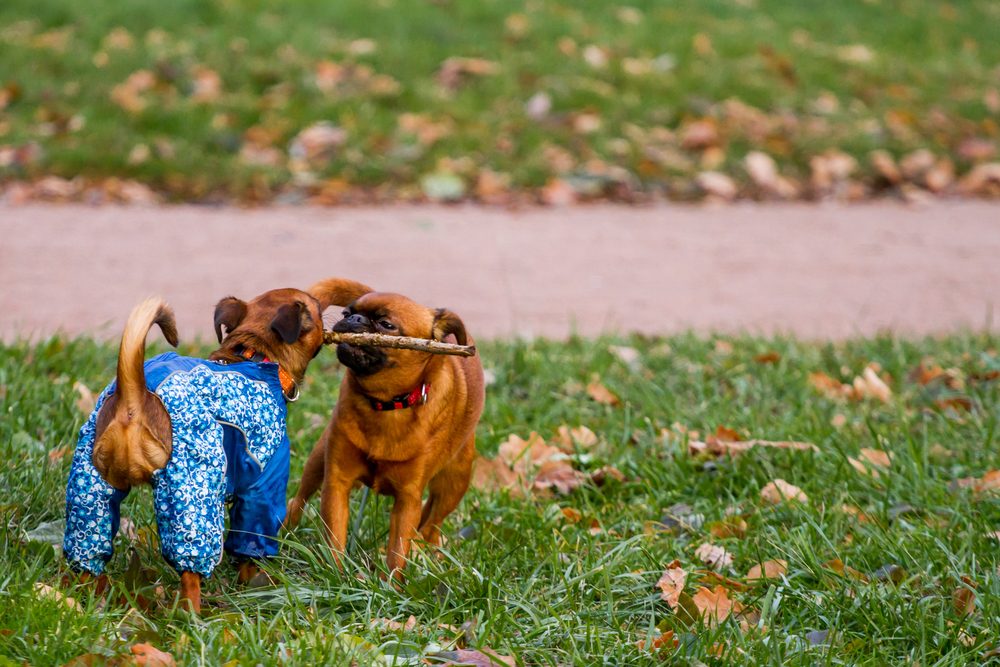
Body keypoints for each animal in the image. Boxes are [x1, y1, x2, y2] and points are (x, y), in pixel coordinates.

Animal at [64, 280, 374, 612]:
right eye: (316, 309)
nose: (340, 314)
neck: (257, 356)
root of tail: (134, 401)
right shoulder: (263, 486)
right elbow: (251, 543)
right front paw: (252, 583)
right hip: (192, 493)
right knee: (190, 567)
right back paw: (192, 614)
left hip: (91, 491)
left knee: (86, 553)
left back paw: (84, 596)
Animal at [284, 288, 486, 580]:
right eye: (346, 312)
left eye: (386, 324)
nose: (353, 318)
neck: (386, 404)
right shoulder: (337, 481)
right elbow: (334, 533)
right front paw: (335, 574)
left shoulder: (408, 500)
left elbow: (397, 550)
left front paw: (391, 584)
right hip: (318, 458)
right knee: (298, 499)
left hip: (455, 482)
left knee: (431, 524)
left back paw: (427, 554)